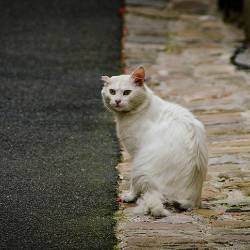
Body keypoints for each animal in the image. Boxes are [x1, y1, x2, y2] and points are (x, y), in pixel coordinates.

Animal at [100, 67, 208, 217]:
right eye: (112, 91)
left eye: (127, 92)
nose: (117, 101)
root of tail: (191, 200)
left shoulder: (136, 153)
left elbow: (132, 182)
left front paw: (129, 196)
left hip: (141, 166)